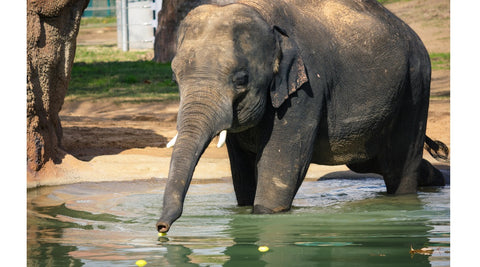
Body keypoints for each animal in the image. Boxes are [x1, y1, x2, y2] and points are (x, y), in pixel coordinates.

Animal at [156, 0, 448, 234]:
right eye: (174, 77)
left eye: (240, 79)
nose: (161, 227)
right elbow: (242, 172)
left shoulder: (306, 90)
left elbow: (280, 168)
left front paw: (265, 214)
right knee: (369, 163)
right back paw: (437, 180)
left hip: (415, 86)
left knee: (399, 166)